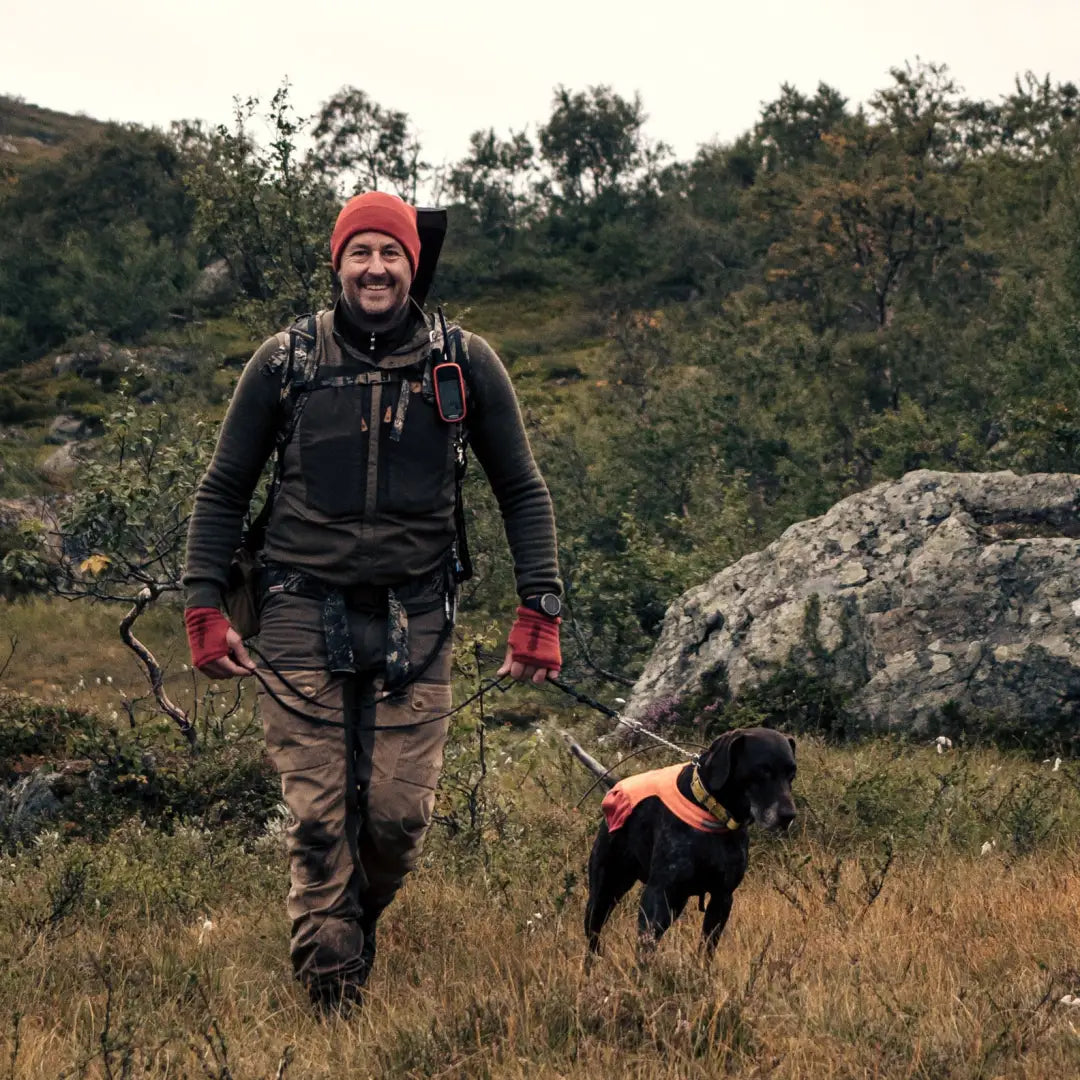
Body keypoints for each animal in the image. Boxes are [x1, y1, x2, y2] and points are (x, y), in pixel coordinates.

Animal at [583, 730, 794, 959]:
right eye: (763, 770)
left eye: (792, 773)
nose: (789, 816)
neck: (711, 813)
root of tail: (617, 784)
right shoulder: (658, 895)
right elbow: (645, 951)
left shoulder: (722, 898)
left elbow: (706, 950)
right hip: (604, 893)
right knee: (593, 936)